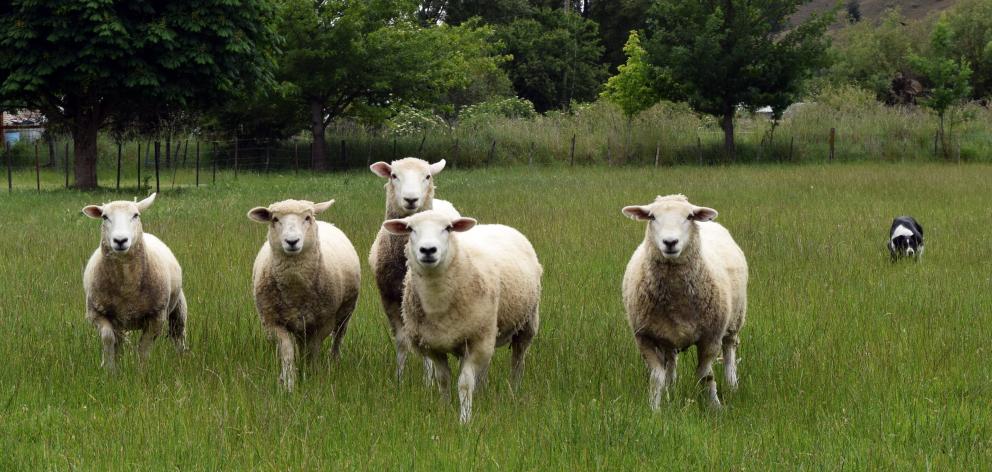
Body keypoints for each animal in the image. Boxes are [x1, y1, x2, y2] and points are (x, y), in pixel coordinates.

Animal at [82, 194, 187, 370]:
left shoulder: (156, 317)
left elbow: (143, 347)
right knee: (119, 341)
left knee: (178, 333)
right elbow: (108, 338)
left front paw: (141, 371)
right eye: (104, 217)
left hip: (178, 305)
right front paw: (110, 369)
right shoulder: (96, 313)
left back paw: (181, 358)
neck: (127, 288)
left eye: (136, 215)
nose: (120, 240)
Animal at [248, 198, 360, 390]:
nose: (292, 241)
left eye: (307, 218)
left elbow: (313, 350)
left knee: (338, 338)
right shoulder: (273, 322)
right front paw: (288, 382)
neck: (295, 288)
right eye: (275, 219)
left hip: (345, 313)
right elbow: (287, 352)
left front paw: (311, 375)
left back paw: (334, 361)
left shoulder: (324, 322)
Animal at [368, 159, 462, 384]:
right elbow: (402, 341)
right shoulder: (389, 298)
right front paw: (400, 380)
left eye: (427, 176)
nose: (411, 199)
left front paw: (428, 382)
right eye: (393, 175)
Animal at [384, 210, 544, 424]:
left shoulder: (477, 341)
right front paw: (444, 409)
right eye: (410, 229)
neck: (437, 301)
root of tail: (500, 225)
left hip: (525, 324)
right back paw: (482, 394)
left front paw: (465, 420)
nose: (428, 250)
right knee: (483, 370)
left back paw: (513, 392)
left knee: (517, 363)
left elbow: (465, 384)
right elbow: (443, 380)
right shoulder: (433, 346)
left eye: (448, 228)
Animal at [616, 195, 748, 410]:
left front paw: (715, 407)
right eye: (652, 216)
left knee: (729, 351)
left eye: (689, 216)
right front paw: (654, 409)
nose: (670, 242)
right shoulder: (645, 338)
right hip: (668, 336)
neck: (676, 301)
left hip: (734, 320)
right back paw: (670, 390)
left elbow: (706, 375)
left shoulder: (711, 337)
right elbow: (657, 377)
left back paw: (732, 385)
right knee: (671, 363)